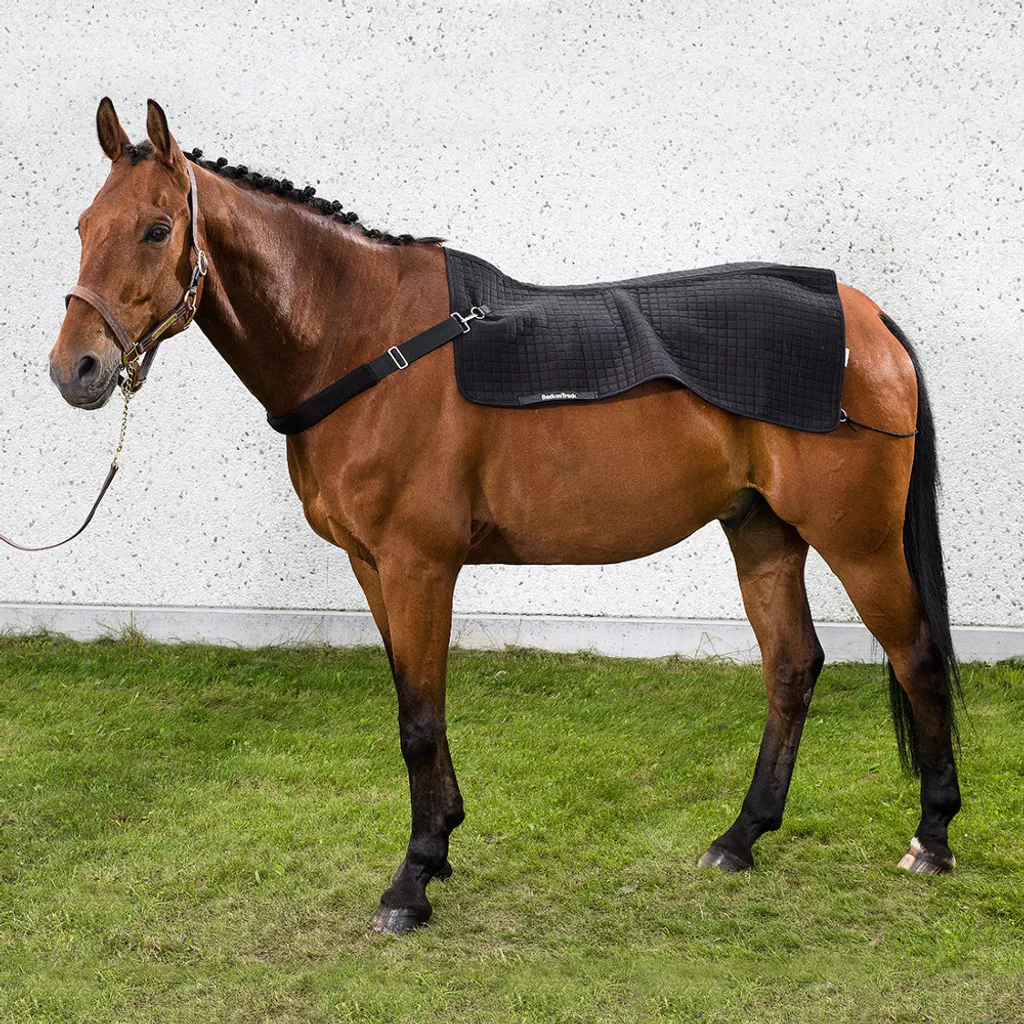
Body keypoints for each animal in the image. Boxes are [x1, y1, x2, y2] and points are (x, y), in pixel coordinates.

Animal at [47, 99, 962, 936]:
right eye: (84, 224)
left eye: (158, 229)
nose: (74, 368)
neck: (363, 339)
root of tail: (864, 317)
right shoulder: (373, 567)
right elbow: (414, 704)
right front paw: (440, 845)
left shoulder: (418, 564)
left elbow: (419, 720)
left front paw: (410, 883)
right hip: (762, 532)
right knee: (792, 667)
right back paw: (740, 838)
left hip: (858, 541)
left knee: (916, 656)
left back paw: (933, 837)